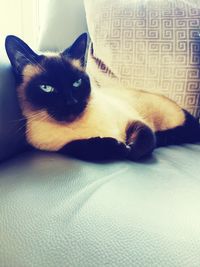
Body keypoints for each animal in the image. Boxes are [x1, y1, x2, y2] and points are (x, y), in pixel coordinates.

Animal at [5, 34, 200, 161]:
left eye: (76, 83)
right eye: (46, 88)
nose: (71, 102)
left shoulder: (133, 120)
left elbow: (146, 140)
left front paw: (129, 149)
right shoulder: (60, 148)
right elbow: (85, 148)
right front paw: (118, 147)